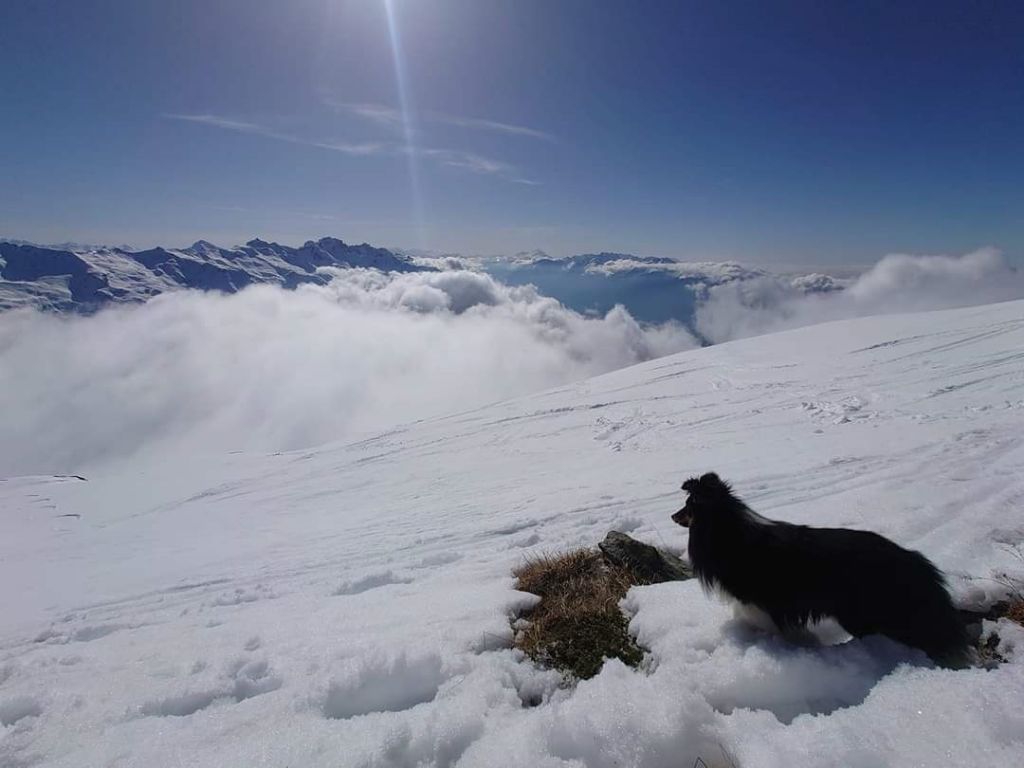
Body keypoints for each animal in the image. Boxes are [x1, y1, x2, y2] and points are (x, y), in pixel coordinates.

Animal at [671, 473, 966, 663]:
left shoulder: (762, 603)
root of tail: (912, 560)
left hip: (861, 614)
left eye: (688, 505)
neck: (727, 530)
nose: (672, 516)